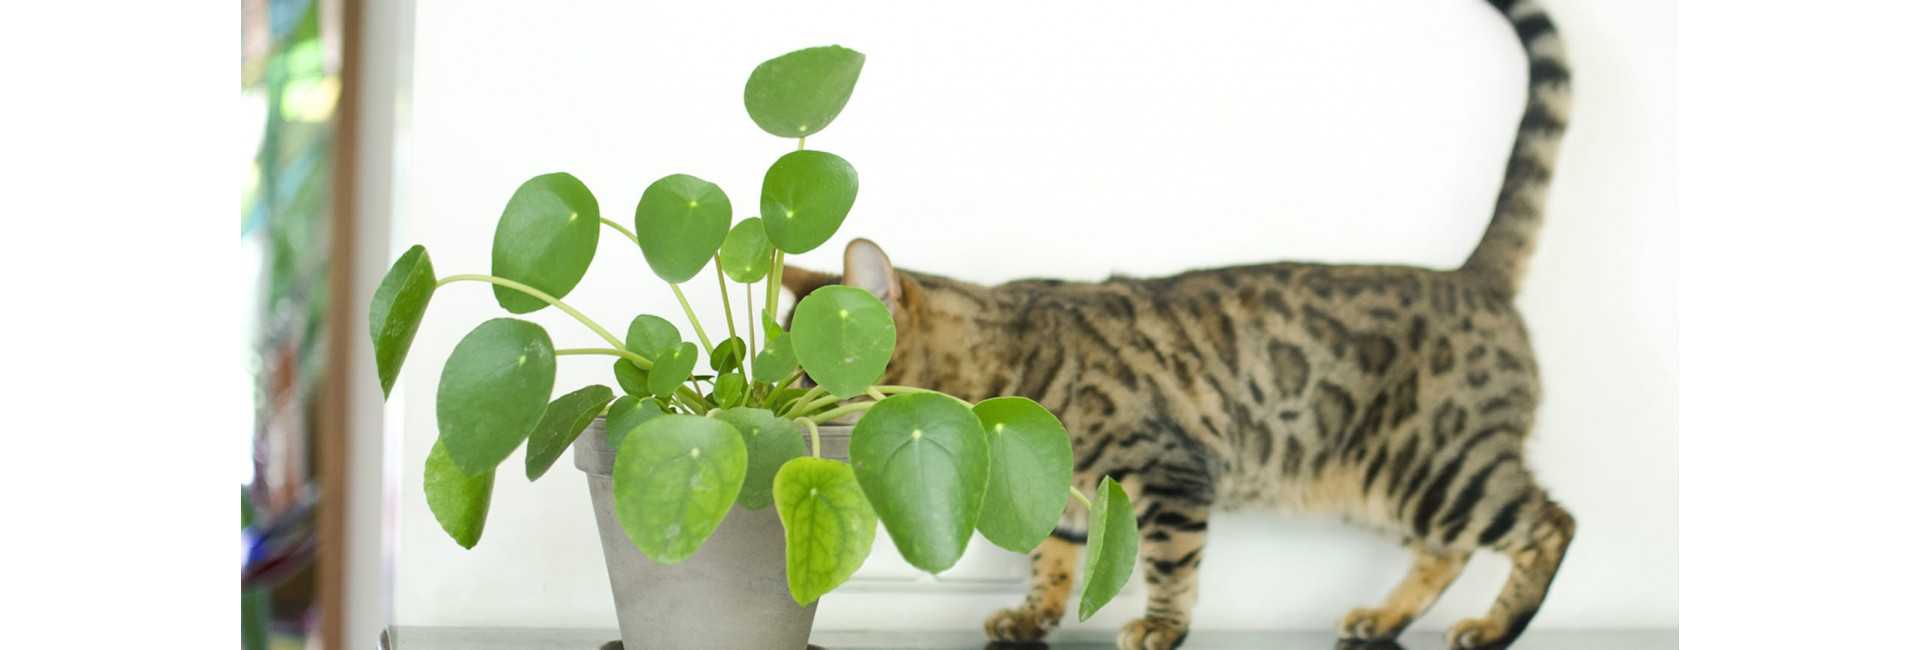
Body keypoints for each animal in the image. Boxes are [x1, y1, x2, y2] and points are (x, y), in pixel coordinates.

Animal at [780, 1, 1573, 648]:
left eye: (814, 371)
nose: (785, 404)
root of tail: (1471, 276)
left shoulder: (1170, 472)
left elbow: (1169, 561)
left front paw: (1161, 625)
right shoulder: (1062, 483)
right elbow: (1055, 557)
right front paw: (1035, 614)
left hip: (1439, 468)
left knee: (1548, 526)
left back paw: (1496, 627)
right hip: (1382, 486)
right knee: (1449, 550)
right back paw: (1384, 618)